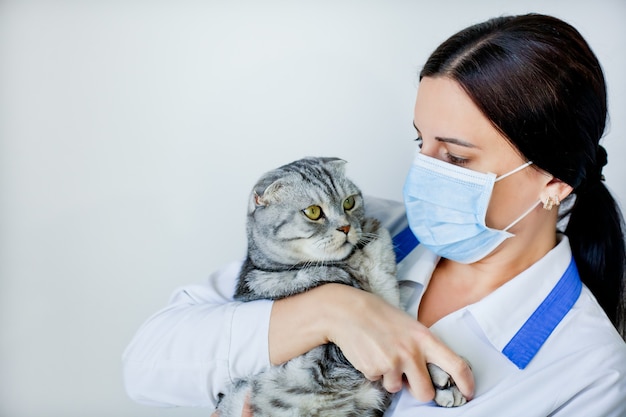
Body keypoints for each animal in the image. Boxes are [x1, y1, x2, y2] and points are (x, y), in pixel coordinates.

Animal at [214, 157, 464, 416]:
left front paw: (444, 381)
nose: (345, 227)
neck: (357, 261)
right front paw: (441, 379)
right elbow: (412, 352)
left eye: (349, 202)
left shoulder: (393, 301)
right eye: (313, 212)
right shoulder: (337, 355)